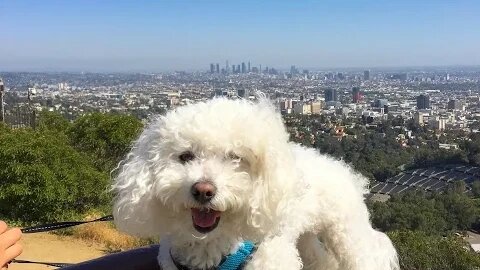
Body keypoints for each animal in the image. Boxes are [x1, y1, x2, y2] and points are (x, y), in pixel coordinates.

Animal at [111, 97, 398, 270]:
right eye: (185, 156)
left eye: (234, 158)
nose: (203, 190)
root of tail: (342, 168)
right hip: (304, 235)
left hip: (346, 232)